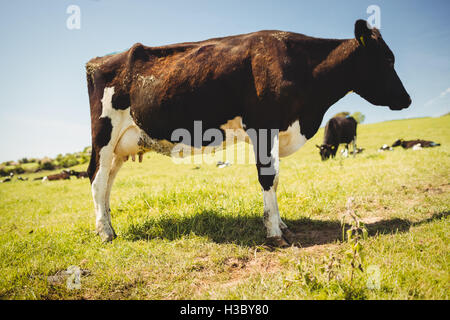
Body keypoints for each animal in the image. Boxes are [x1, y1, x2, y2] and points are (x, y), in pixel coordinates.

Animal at [85, 19, 412, 245]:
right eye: (387, 59)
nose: (407, 99)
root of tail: (99, 60)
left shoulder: (277, 130)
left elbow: (276, 179)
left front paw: (282, 225)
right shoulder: (262, 126)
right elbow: (267, 178)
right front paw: (274, 233)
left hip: (122, 144)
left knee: (108, 183)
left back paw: (108, 225)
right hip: (104, 134)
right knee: (96, 178)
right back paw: (105, 233)